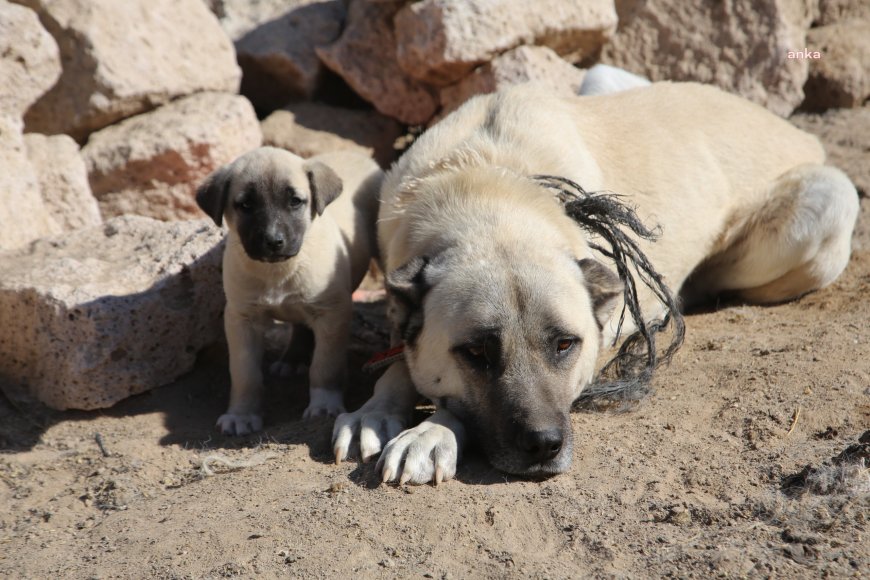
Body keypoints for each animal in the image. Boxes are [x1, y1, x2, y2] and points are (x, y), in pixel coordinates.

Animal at [201, 147, 384, 432]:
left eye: (295, 201)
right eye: (245, 205)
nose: (273, 241)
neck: (278, 271)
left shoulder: (332, 313)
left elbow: (325, 366)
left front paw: (324, 405)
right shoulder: (241, 319)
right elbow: (244, 373)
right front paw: (241, 414)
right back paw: (293, 359)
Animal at [332, 80, 860, 480]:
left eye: (566, 344)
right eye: (477, 352)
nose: (543, 446)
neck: (484, 184)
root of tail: (798, 133)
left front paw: (429, 432)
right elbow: (400, 363)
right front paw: (375, 410)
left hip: (828, 201)